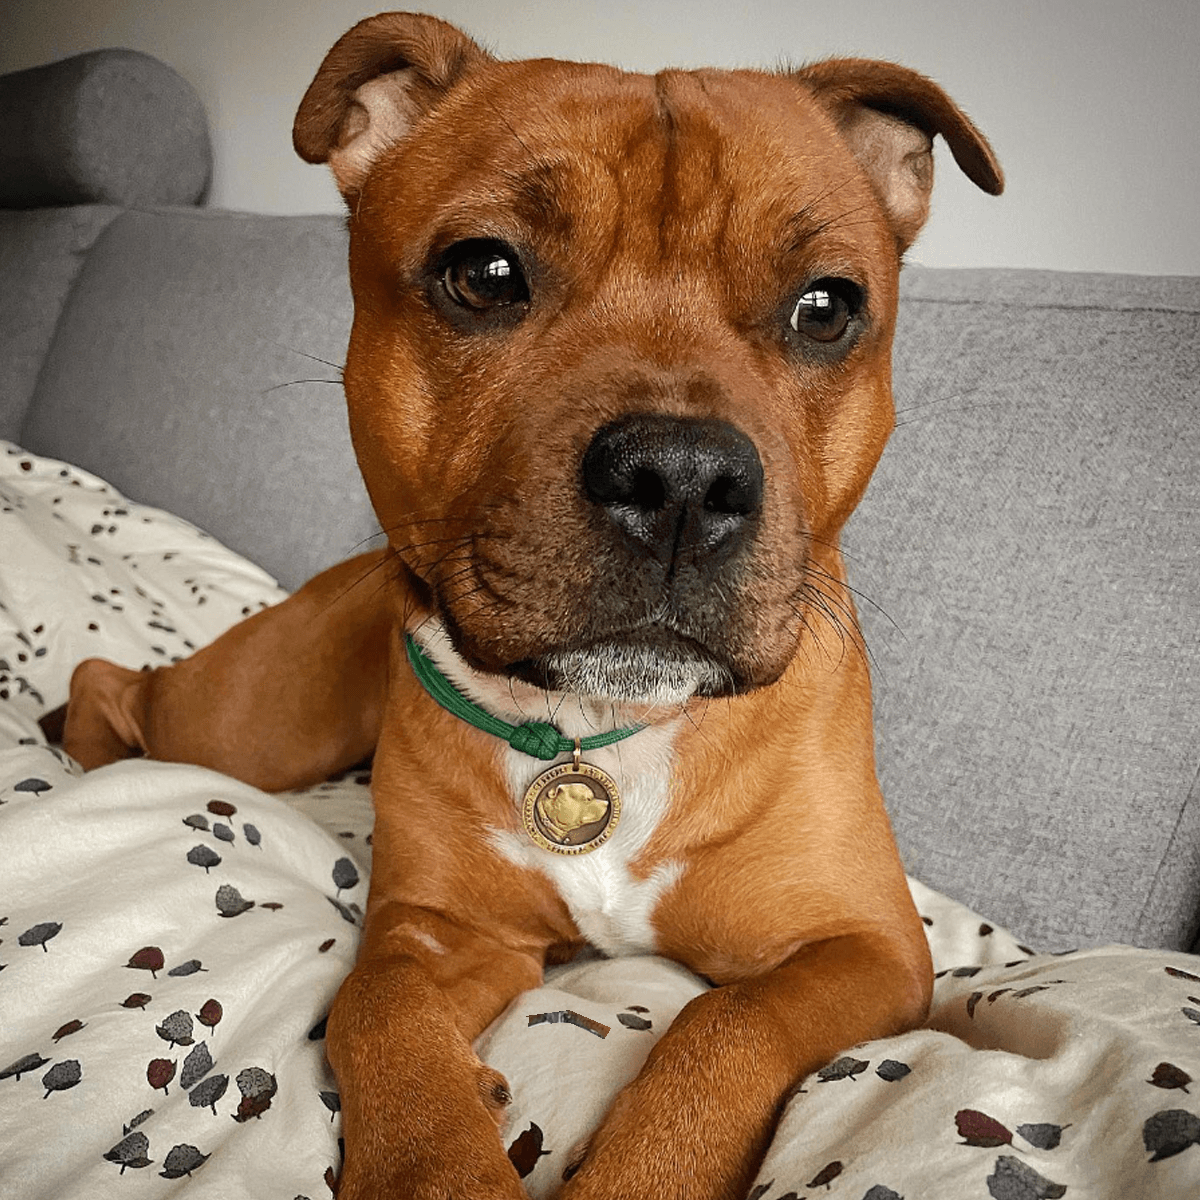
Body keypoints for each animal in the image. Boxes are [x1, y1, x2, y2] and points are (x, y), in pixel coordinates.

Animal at [65, 11, 1003, 1200]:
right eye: (484, 273)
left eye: (827, 308)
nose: (681, 477)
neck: (600, 731)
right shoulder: (438, 934)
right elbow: (377, 1009)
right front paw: (437, 1156)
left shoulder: (864, 948)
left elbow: (728, 1026)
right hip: (249, 729)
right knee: (114, 680)